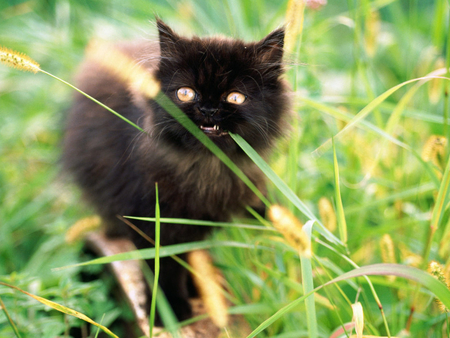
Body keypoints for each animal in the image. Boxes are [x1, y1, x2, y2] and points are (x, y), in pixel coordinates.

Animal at [61, 19, 290, 324]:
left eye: (235, 97)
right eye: (186, 93)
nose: (208, 109)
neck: (206, 166)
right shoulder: (152, 218)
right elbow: (164, 263)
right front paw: (165, 311)